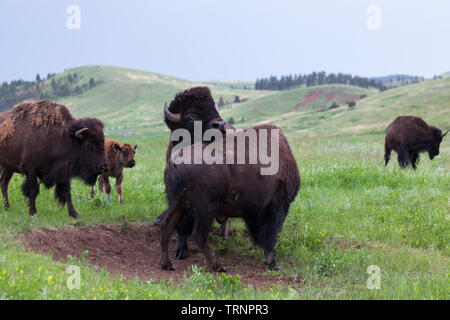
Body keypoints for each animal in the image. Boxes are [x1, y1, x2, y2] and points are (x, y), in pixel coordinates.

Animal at [158, 86, 298, 272]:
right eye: (191, 116)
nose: (220, 125)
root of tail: (175, 160)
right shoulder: (278, 205)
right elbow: (271, 235)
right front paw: (273, 263)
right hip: (205, 208)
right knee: (199, 235)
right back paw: (218, 266)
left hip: (179, 202)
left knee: (167, 227)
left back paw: (167, 264)